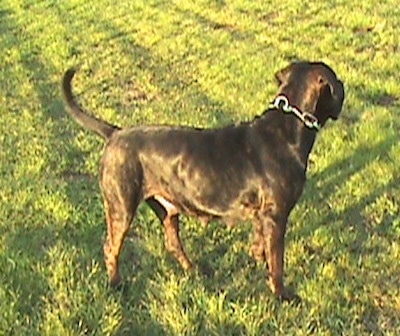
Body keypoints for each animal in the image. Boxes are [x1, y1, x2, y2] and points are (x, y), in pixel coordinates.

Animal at [61, 61, 344, 300]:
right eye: (337, 82)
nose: (344, 85)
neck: (288, 130)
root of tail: (114, 134)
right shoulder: (276, 216)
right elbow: (277, 262)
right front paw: (281, 294)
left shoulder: (263, 216)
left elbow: (260, 245)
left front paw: (257, 262)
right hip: (121, 206)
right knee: (112, 247)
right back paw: (116, 285)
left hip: (166, 209)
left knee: (172, 243)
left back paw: (193, 270)